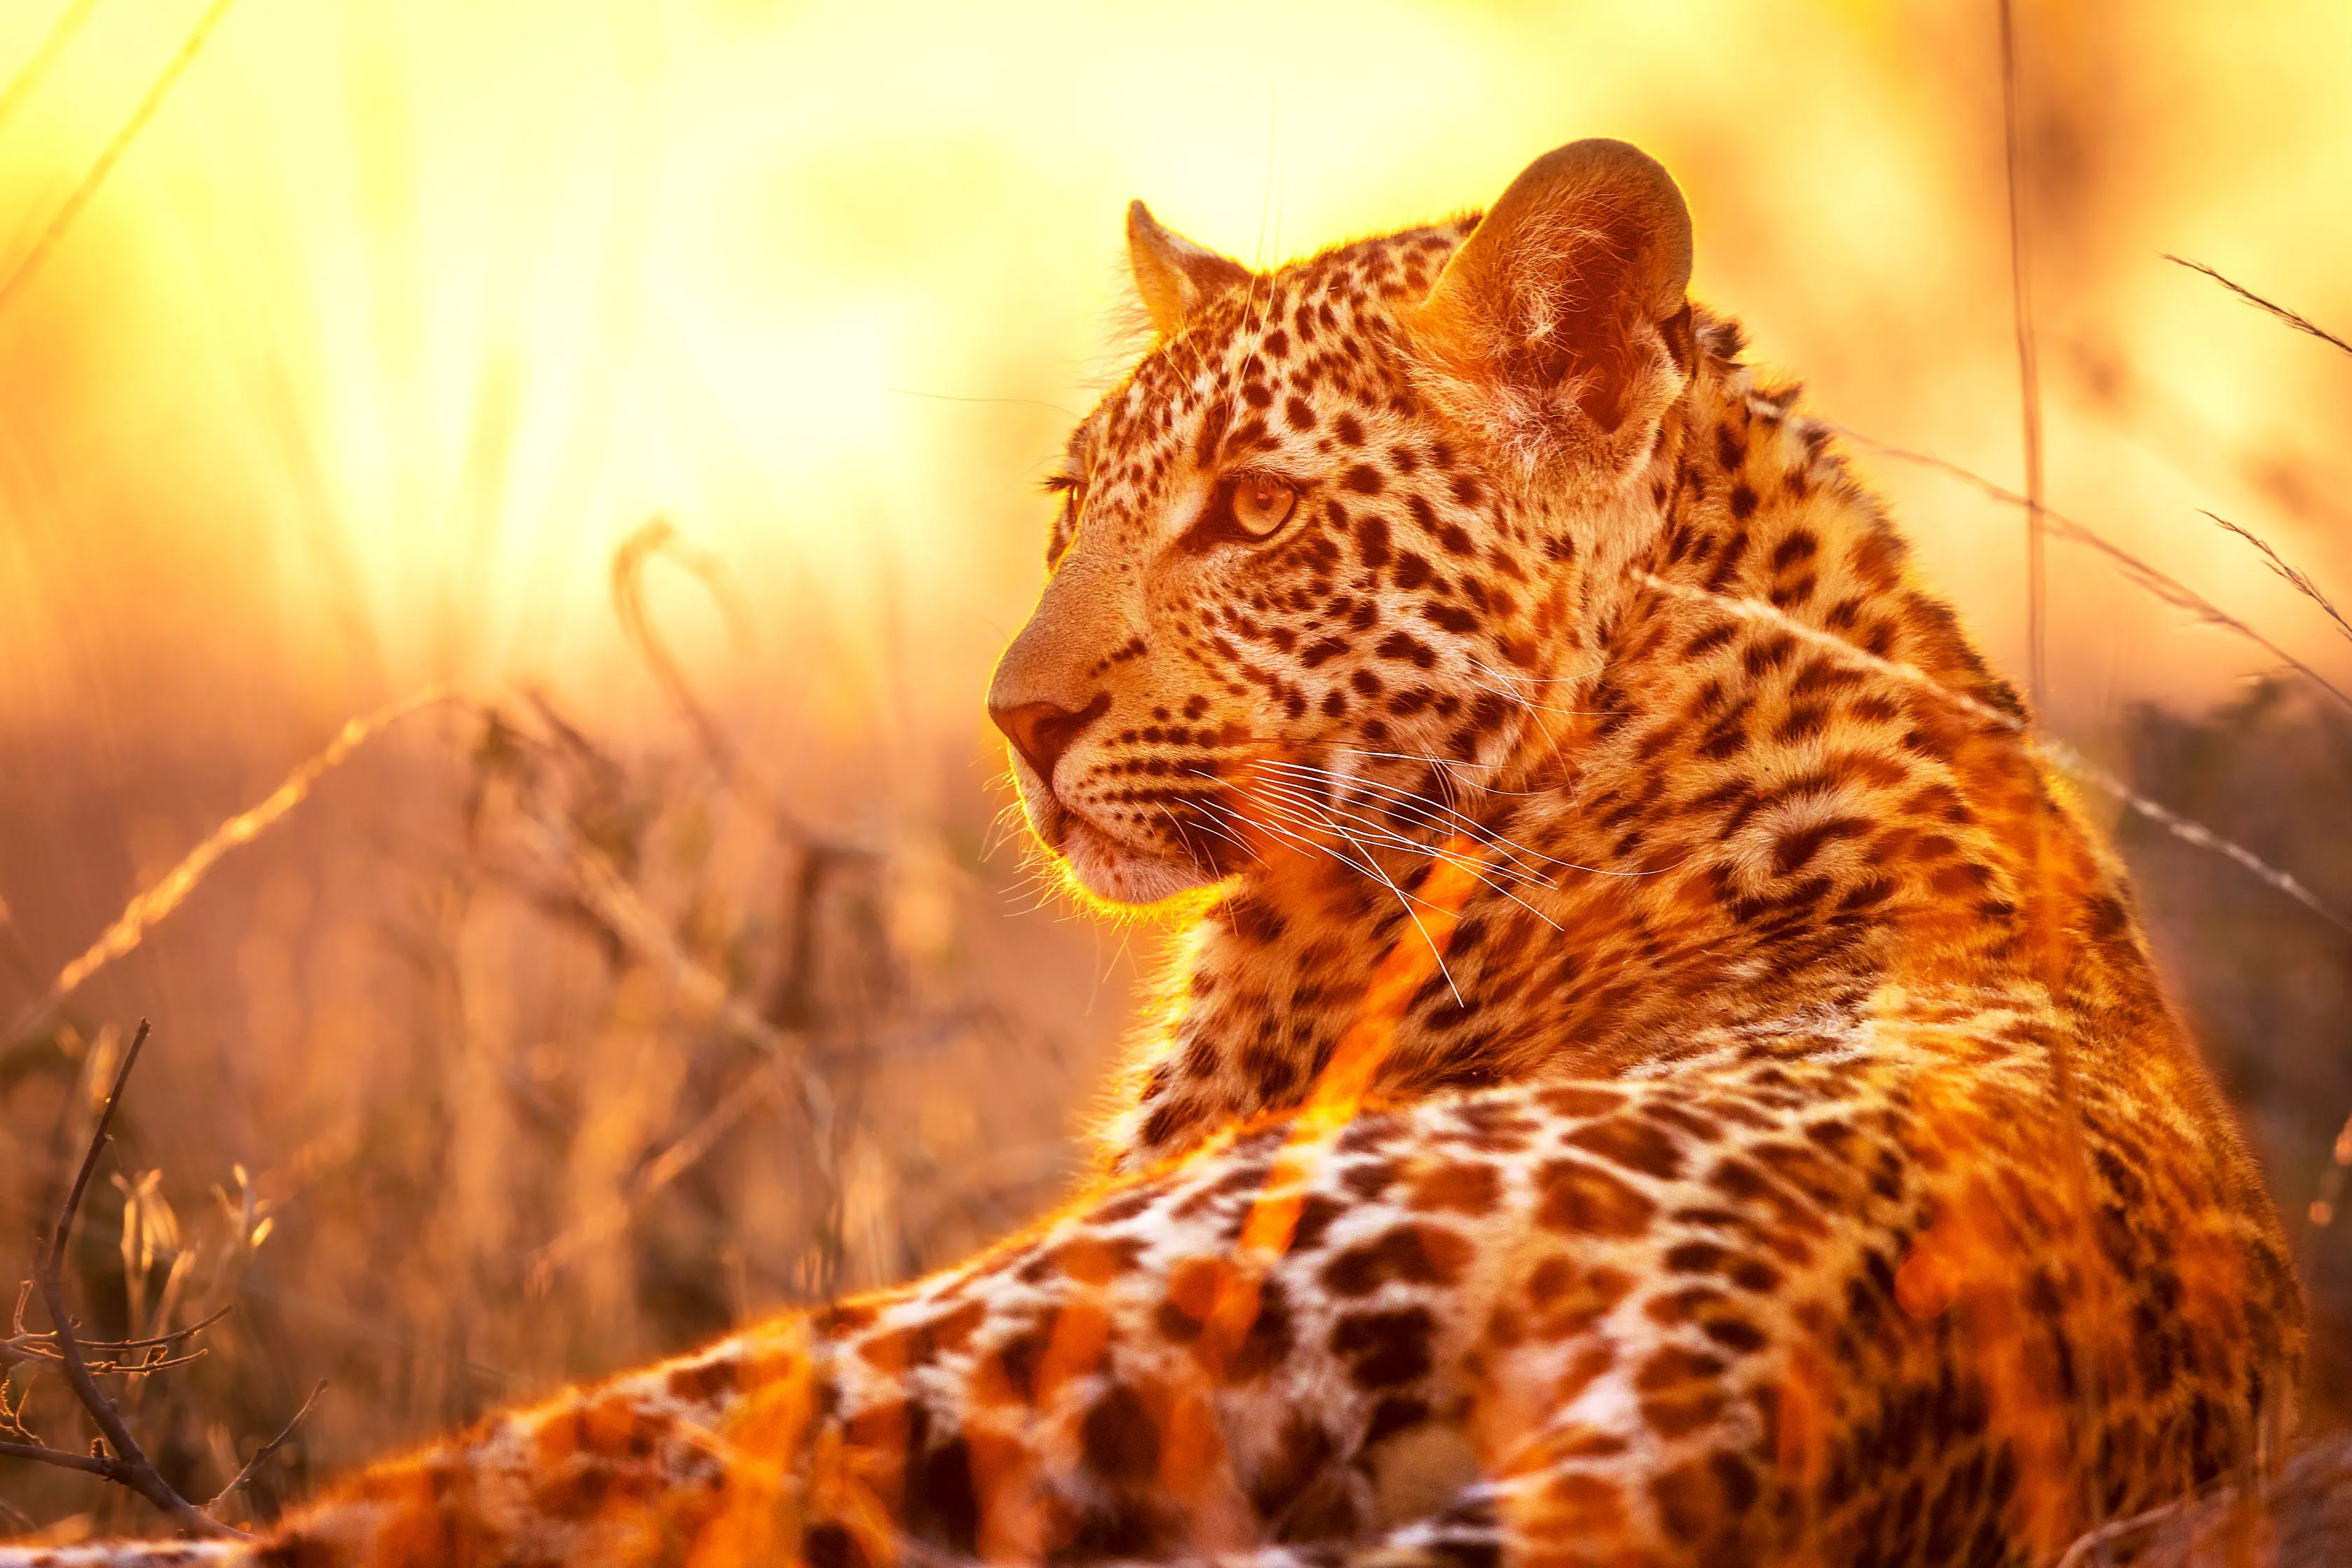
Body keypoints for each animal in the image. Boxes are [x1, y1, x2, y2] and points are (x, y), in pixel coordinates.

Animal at [1, 138, 2303, 1568]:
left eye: (1254, 511)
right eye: (1070, 500)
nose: (1014, 720)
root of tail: (1764, 1359)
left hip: (1041, 1297)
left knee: (440, 1495)